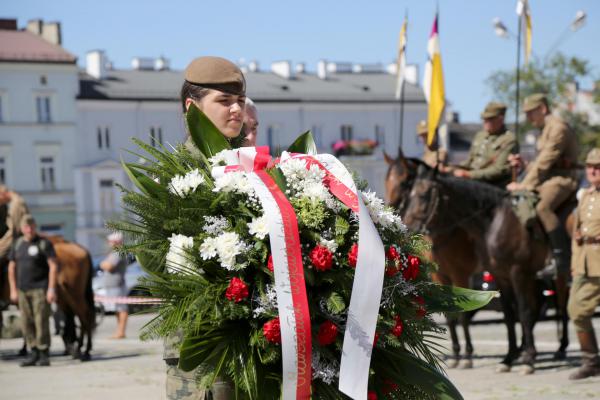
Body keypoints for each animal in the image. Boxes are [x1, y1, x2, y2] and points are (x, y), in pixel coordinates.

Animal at [386, 152, 480, 368]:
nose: (392, 210)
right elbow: (451, 314)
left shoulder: (460, 275)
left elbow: (463, 316)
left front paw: (468, 355)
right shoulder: (440, 276)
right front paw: (456, 353)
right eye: (387, 181)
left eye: (404, 182)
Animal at [404, 163, 572, 376]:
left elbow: (520, 312)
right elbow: (507, 316)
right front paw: (507, 358)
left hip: (554, 275)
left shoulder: (512, 273)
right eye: (409, 194)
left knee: (561, 307)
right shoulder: (495, 276)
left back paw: (558, 348)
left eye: (424, 195)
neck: (494, 224)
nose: (408, 227)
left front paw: (526, 360)